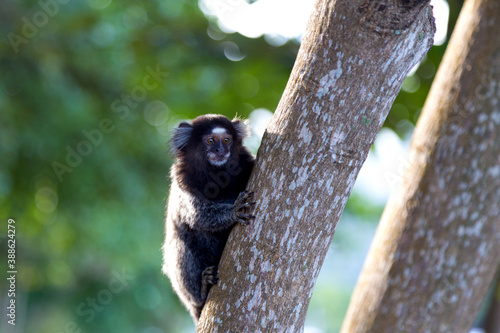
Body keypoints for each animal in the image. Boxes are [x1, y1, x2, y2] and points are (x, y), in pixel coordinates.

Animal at [164, 114, 256, 322]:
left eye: (227, 140)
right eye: (211, 141)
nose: (220, 150)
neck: (216, 174)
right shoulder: (185, 183)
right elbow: (198, 215)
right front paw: (233, 211)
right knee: (179, 247)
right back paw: (202, 291)